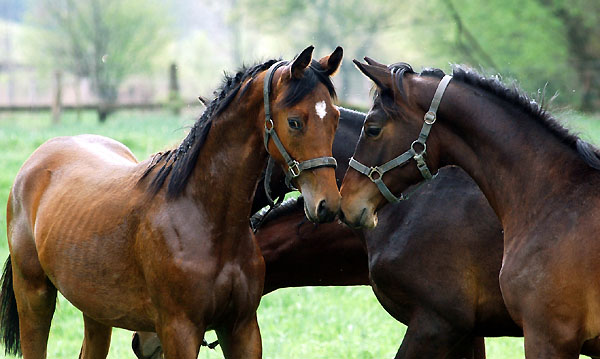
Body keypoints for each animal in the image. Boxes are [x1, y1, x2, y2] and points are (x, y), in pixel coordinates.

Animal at [2, 46, 344, 358]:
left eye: (336, 118)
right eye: (295, 122)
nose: (327, 204)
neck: (203, 217)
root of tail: (37, 160)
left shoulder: (241, 328)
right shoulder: (179, 331)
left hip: (96, 310)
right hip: (34, 295)